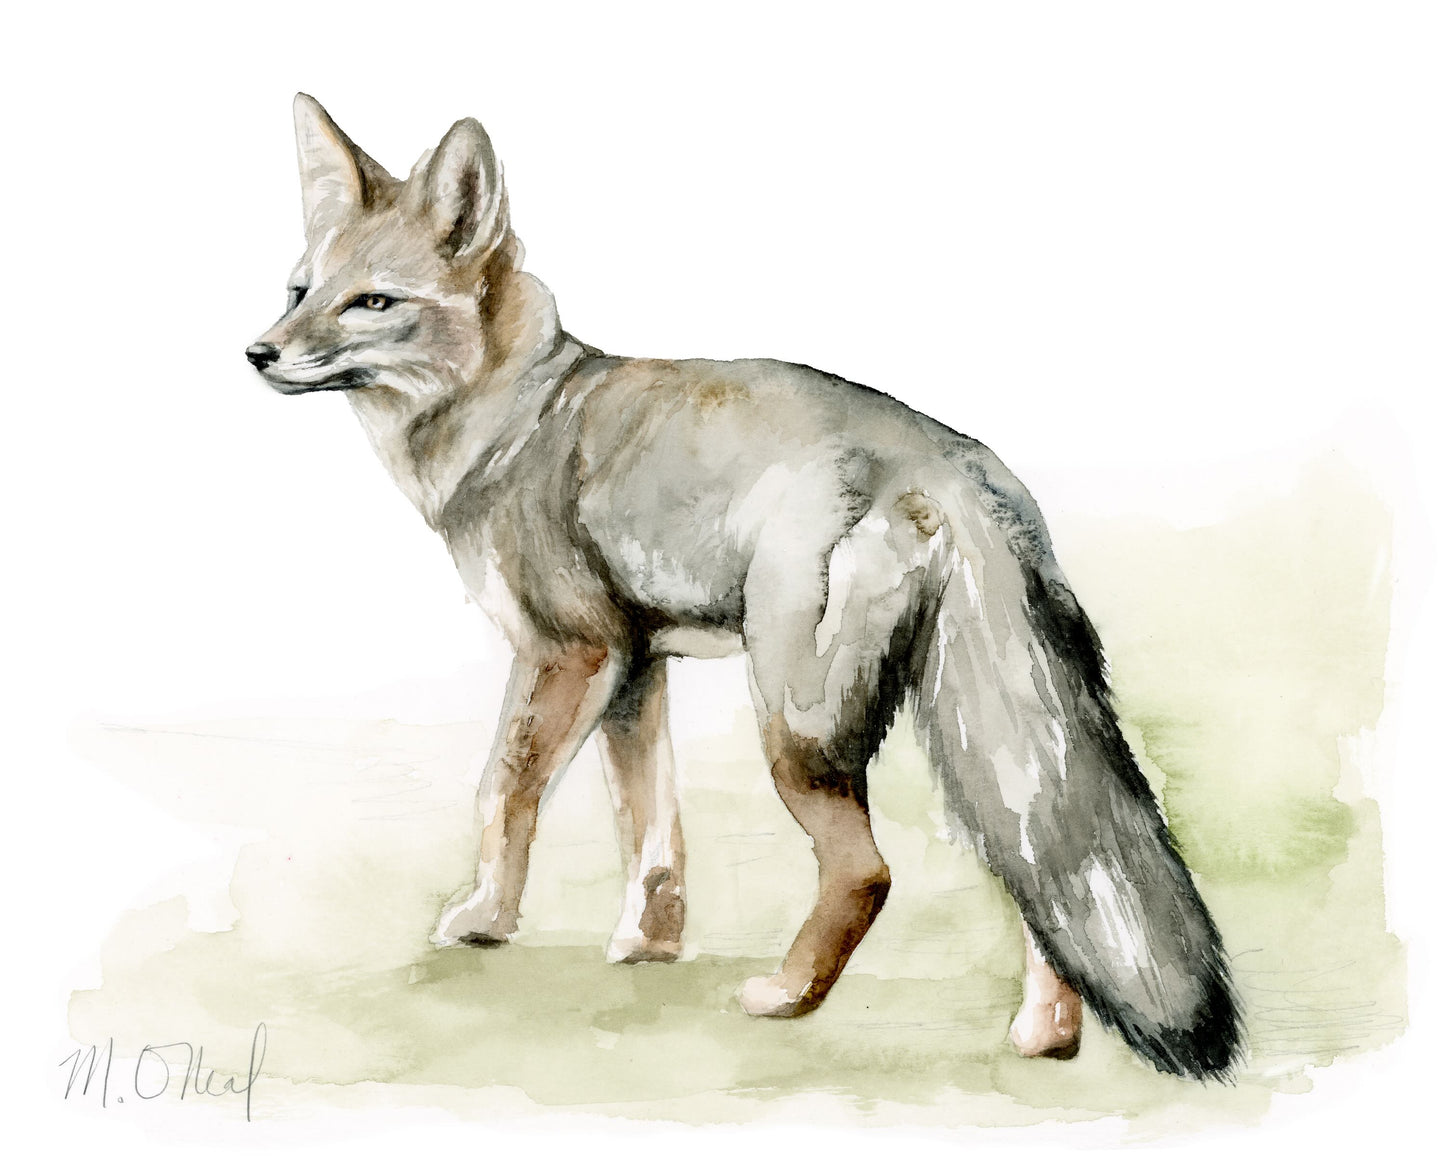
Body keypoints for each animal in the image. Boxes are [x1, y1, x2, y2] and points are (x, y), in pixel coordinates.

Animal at [247, 95, 1243, 1081]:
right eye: (301, 292)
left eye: (373, 302)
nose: (258, 352)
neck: (515, 412)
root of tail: (950, 461)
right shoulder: (635, 667)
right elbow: (650, 826)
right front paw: (647, 942)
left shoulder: (571, 650)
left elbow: (502, 791)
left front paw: (483, 919)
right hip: (961, 729)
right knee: (1032, 864)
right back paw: (1045, 1033)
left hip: (793, 724)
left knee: (867, 872)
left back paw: (787, 996)